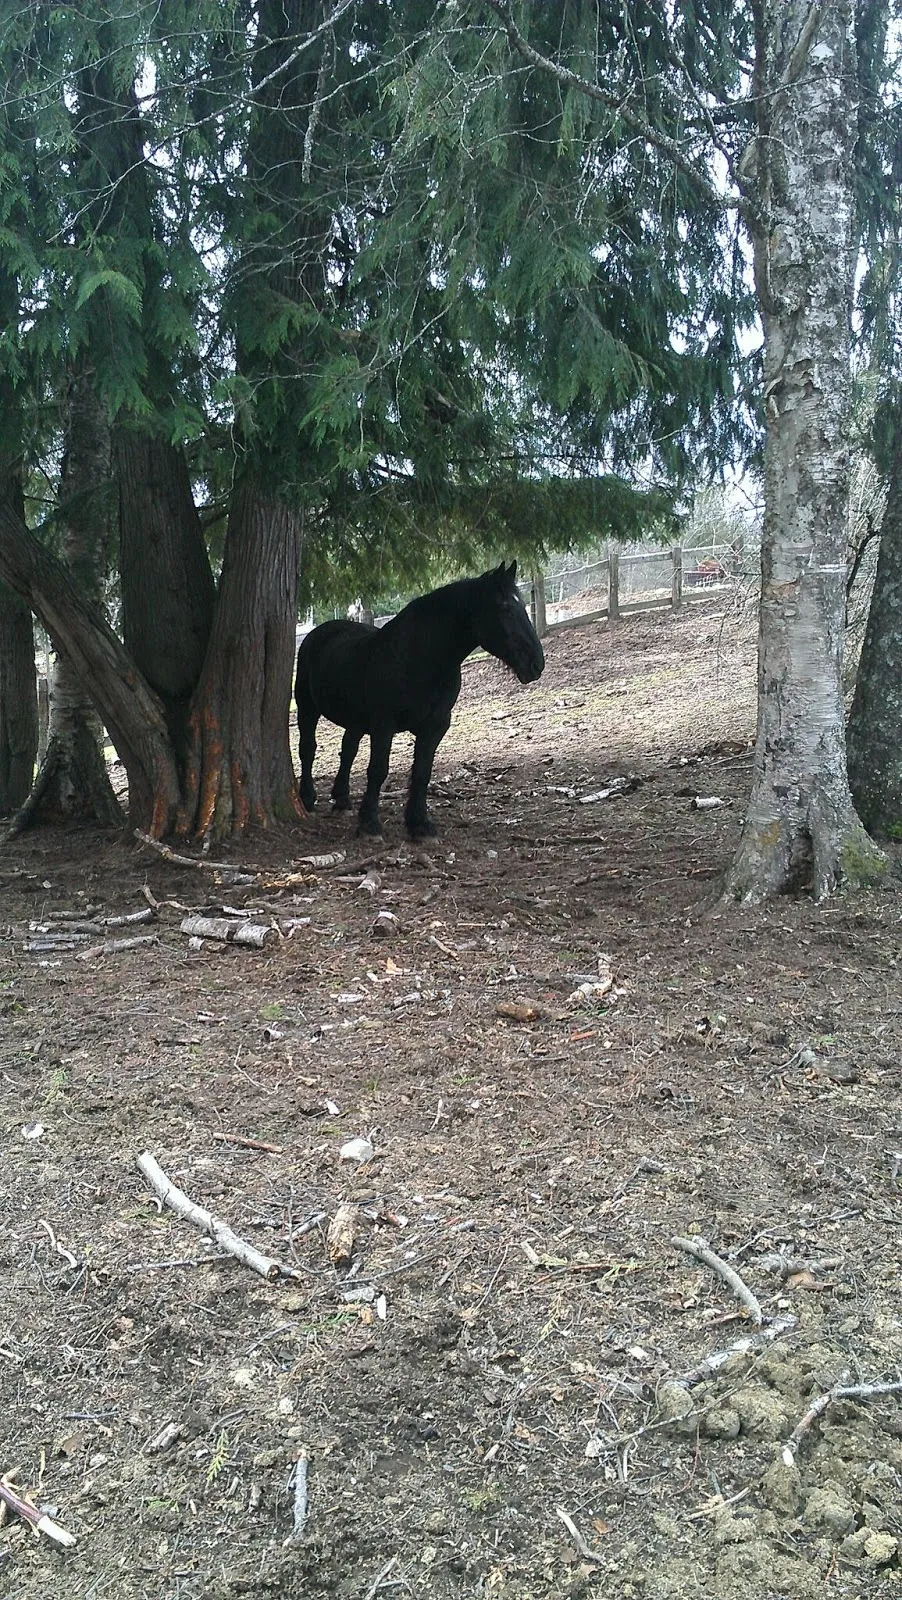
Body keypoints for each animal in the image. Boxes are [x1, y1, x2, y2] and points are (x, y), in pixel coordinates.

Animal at [295, 561, 545, 838]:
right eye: (505, 608)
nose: (536, 664)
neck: (421, 658)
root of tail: (317, 634)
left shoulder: (435, 726)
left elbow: (422, 772)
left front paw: (419, 823)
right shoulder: (384, 725)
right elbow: (378, 770)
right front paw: (370, 824)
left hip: (356, 720)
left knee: (347, 751)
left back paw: (342, 800)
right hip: (307, 708)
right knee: (308, 749)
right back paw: (307, 798)